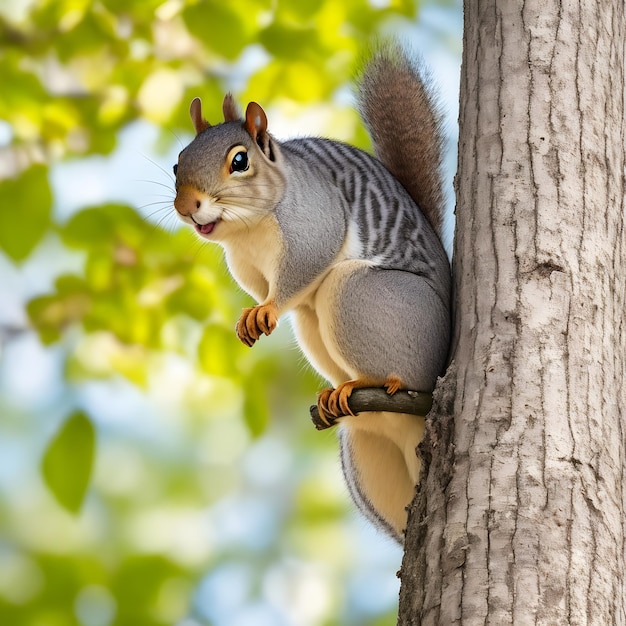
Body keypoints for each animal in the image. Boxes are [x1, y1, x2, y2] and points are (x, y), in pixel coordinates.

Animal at [172, 44, 448, 540]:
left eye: (239, 161)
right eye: (176, 163)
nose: (186, 207)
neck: (248, 231)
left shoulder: (314, 223)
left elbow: (300, 271)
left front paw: (266, 309)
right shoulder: (245, 264)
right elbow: (273, 290)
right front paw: (253, 310)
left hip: (359, 295)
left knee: (402, 371)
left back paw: (372, 382)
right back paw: (336, 393)